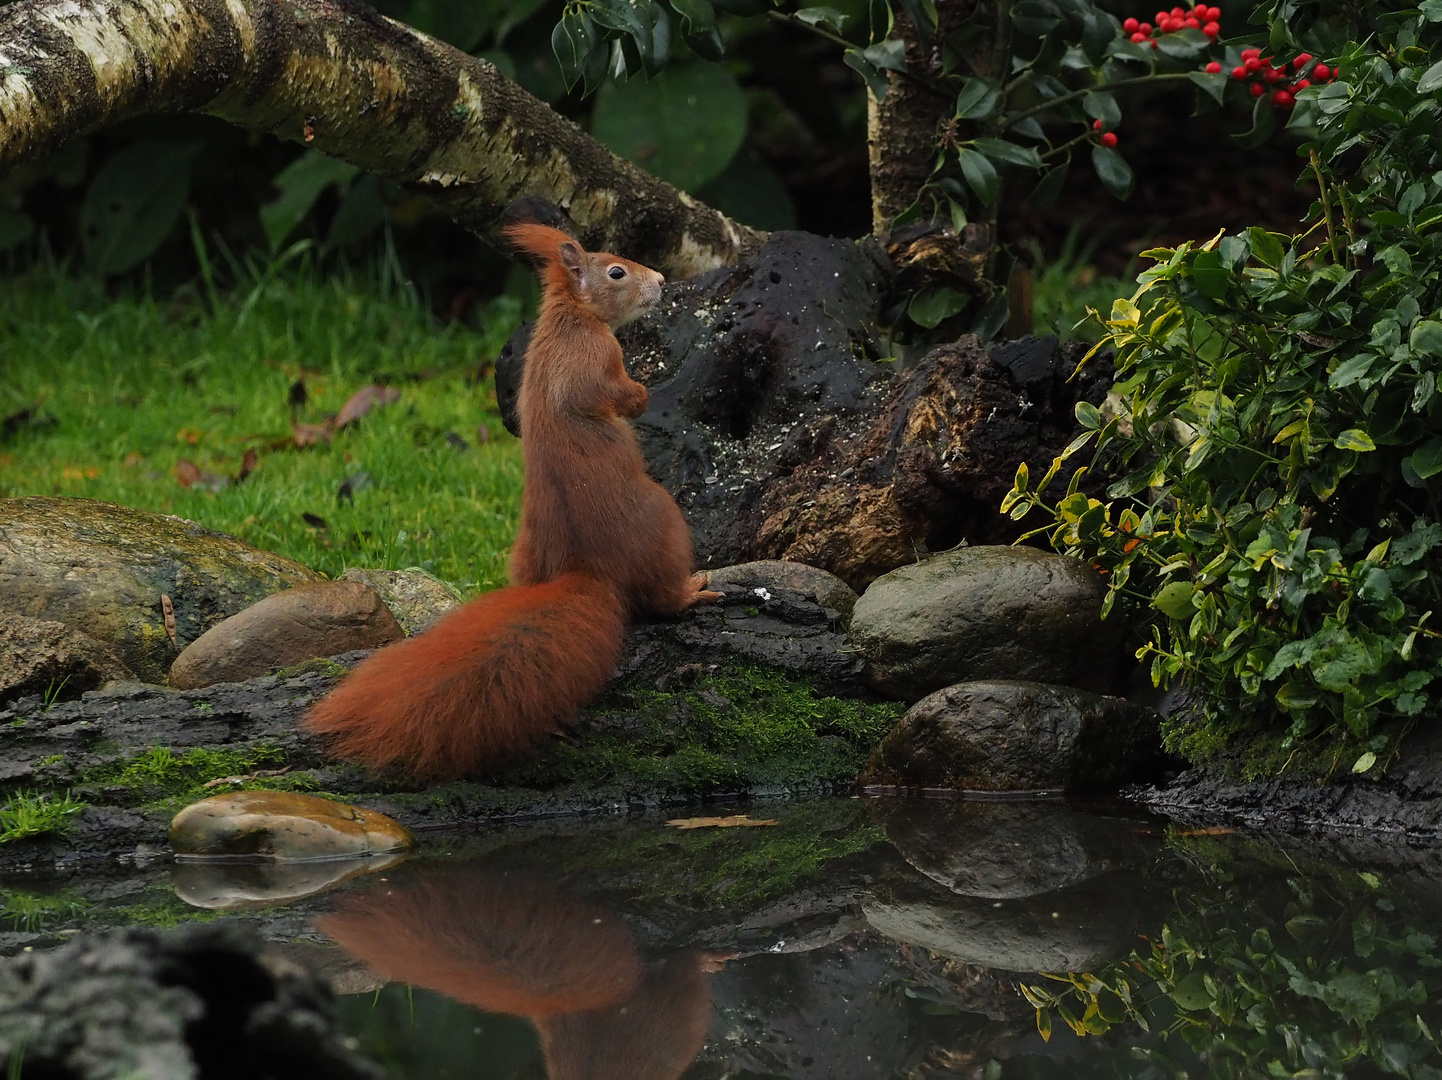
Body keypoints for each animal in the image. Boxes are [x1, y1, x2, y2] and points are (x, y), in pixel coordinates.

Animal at [302, 224, 715, 772]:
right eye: (616, 272)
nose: (663, 281)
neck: (570, 315)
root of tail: (585, 566)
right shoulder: (594, 355)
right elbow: (606, 393)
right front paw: (642, 395)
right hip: (668, 525)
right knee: (661, 600)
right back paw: (691, 590)